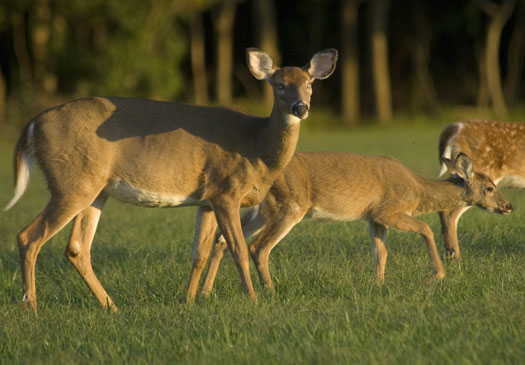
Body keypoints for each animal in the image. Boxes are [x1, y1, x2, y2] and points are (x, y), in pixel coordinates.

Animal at [4, 47, 338, 312]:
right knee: (28, 236)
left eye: (309, 84)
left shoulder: (206, 199)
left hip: (95, 189)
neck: (255, 146)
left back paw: (111, 307)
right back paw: (32, 308)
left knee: (76, 248)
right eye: (280, 84)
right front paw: (254, 300)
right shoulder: (226, 191)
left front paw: (189, 301)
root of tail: (32, 124)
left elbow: (199, 253)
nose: (301, 107)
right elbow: (238, 248)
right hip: (71, 182)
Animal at [195, 151, 508, 296]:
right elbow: (426, 229)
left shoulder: (374, 217)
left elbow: (381, 253)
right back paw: (271, 291)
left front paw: (379, 286)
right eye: (490, 187)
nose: (508, 206)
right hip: (289, 205)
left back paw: (206, 293)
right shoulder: (388, 209)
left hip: (263, 210)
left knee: (223, 240)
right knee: (259, 247)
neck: (417, 190)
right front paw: (435, 276)